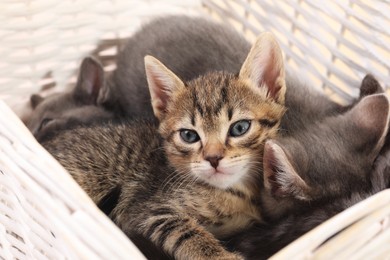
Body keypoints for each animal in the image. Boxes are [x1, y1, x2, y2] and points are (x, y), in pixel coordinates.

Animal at [42, 33, 286, 260]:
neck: (236, 191)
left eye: (239, 128)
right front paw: (221, 256)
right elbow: (186, 233)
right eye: (189, 135)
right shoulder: (145, 210)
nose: (213, 158)